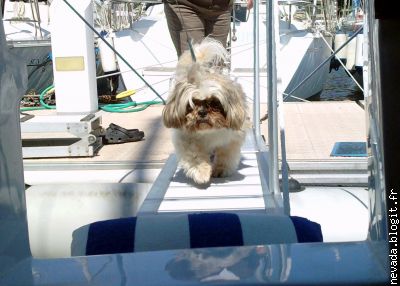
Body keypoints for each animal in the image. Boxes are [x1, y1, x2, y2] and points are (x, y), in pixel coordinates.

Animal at [162, 38, 248, 184]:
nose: (202, 113)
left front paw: (220, 169)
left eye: (214, 103)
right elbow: (195, 156)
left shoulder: (231, 139)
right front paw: (202, 173)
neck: (209, 131)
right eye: (191, 105)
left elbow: (225, 155)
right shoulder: (186, 139)